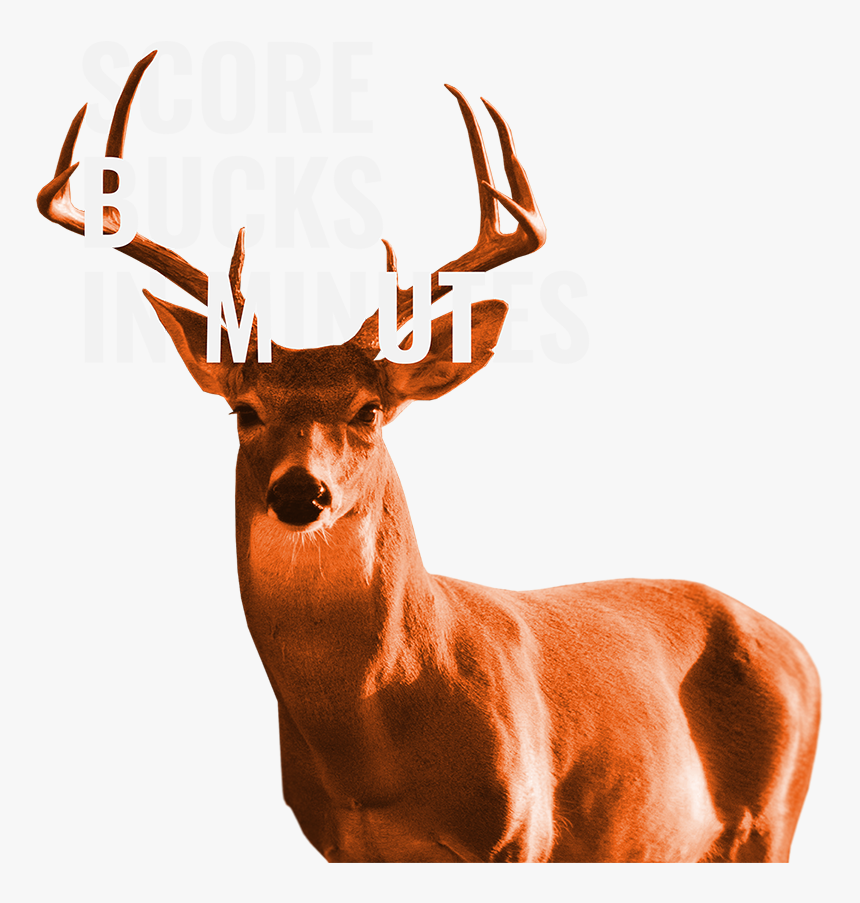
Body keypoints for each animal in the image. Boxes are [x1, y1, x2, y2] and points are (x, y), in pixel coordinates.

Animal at [38, 50, 820, 863]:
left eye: (369, 410)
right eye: (245, 410)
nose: (300, 493)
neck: (379, 738)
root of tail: (801, 649)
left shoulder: (522, 833)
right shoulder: (338, 846)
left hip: (771, 821)